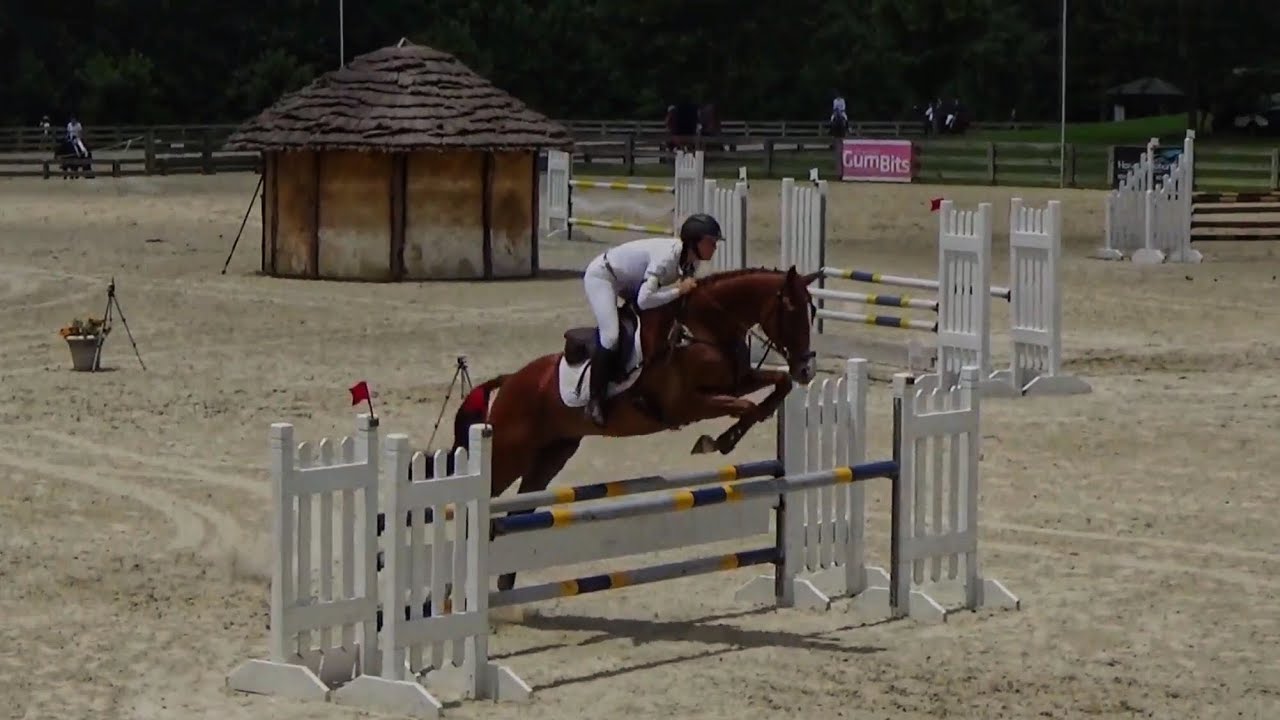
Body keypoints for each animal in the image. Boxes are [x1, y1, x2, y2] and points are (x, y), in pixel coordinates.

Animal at [452, 266, 821, 591]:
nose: (807, 369)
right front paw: (717, 441)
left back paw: (504, 581)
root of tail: (510, 381)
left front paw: (734, 432)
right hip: (509, 453)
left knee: (521, 507)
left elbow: (778, 386)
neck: (704, 329)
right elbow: (747, 407)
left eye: (813, 310)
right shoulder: (687, 403)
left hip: (551, 455)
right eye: (791, 310)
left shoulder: (737, 380)